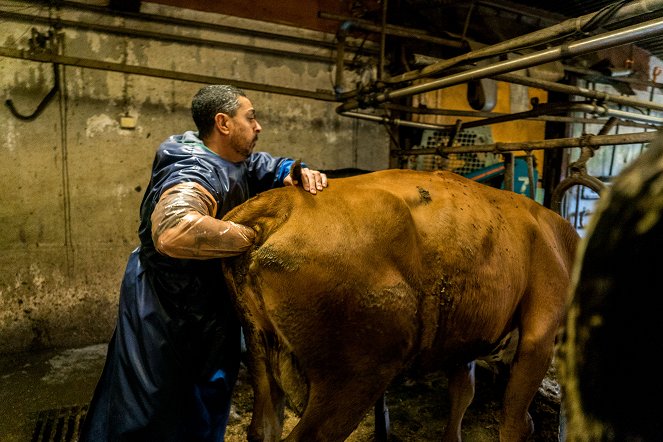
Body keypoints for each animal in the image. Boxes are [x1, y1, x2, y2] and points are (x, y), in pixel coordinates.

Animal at [220, 167, 580, 440]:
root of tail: (279, 206)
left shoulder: (463, 339)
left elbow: (462, 396)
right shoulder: (538, 338)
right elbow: (516, 421)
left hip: (260, 349)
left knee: (262, 429)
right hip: (355, 373)